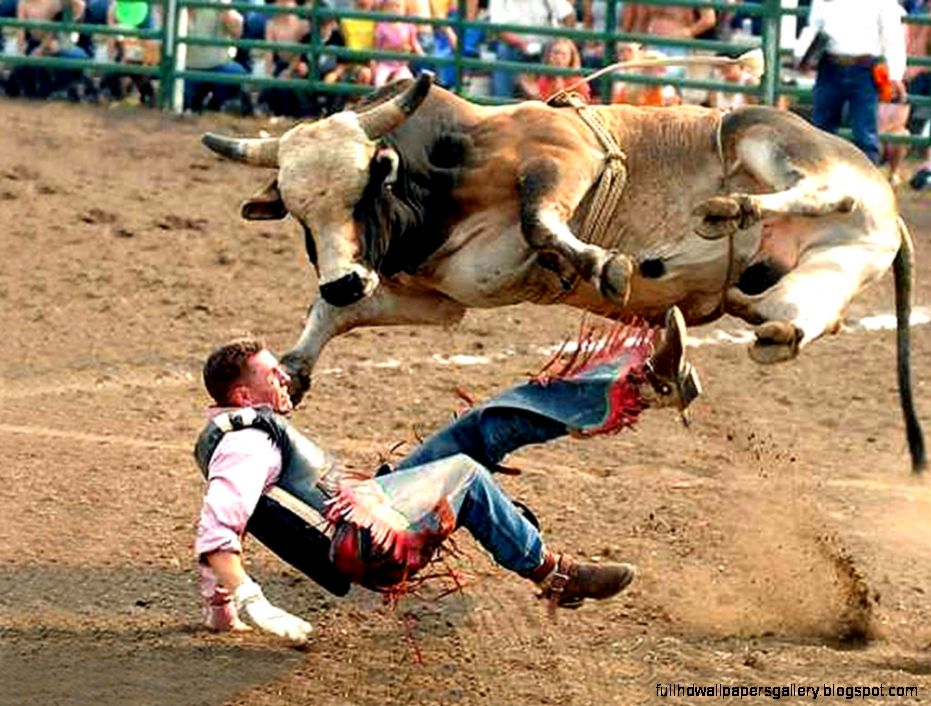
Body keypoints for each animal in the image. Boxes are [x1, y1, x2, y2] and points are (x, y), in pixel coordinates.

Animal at [202, 74, 926, 472]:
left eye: (365, 187)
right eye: (297, 210)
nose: (345, 276)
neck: (440, 169)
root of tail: (891, 210)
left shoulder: (561, 158)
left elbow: (537, 218)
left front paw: (600, 264)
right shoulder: (438, 298)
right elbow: (334, 314)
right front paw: (294, 369)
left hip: (764, 136)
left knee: (821, 189)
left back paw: (731, 208)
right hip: (808, 276)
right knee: (787, 327)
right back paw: (730, 336)